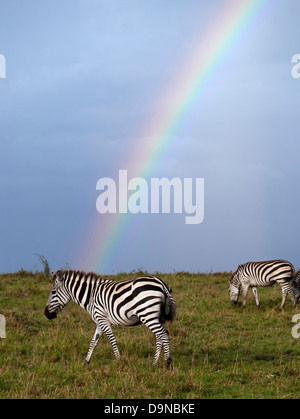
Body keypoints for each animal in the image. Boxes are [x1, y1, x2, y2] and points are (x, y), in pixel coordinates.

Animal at [44, 270, 176, 370]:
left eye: (53, 292)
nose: (46, 314)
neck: (90, 296)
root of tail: (161, 283)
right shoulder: (99, 320)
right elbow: (93, 342)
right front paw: (86, 362)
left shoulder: (102, 319)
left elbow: (112, 339)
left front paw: (119, 360)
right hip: (158, 317)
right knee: (159, 337)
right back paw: (154, 363)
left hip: (147, 314)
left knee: (163, 334)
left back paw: (168, 363)